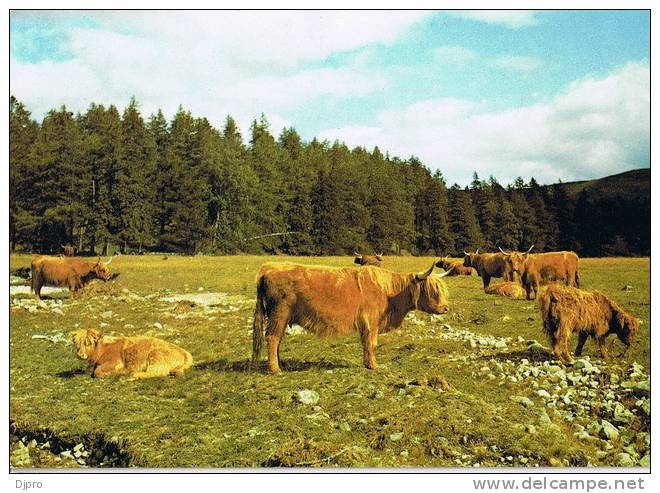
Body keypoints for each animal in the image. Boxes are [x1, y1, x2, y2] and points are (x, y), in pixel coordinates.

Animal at [253, 262, 454, 372]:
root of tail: (268, 268)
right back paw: (275, 369)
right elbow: (371, 343)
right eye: (433, 290)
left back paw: (280, 364)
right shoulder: (371, 321)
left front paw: (368, 363)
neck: (391, 294)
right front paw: (373, 365)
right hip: (279, 313)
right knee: (272, 338)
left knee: (277, 339)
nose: (445, 308)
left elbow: (367, 344)